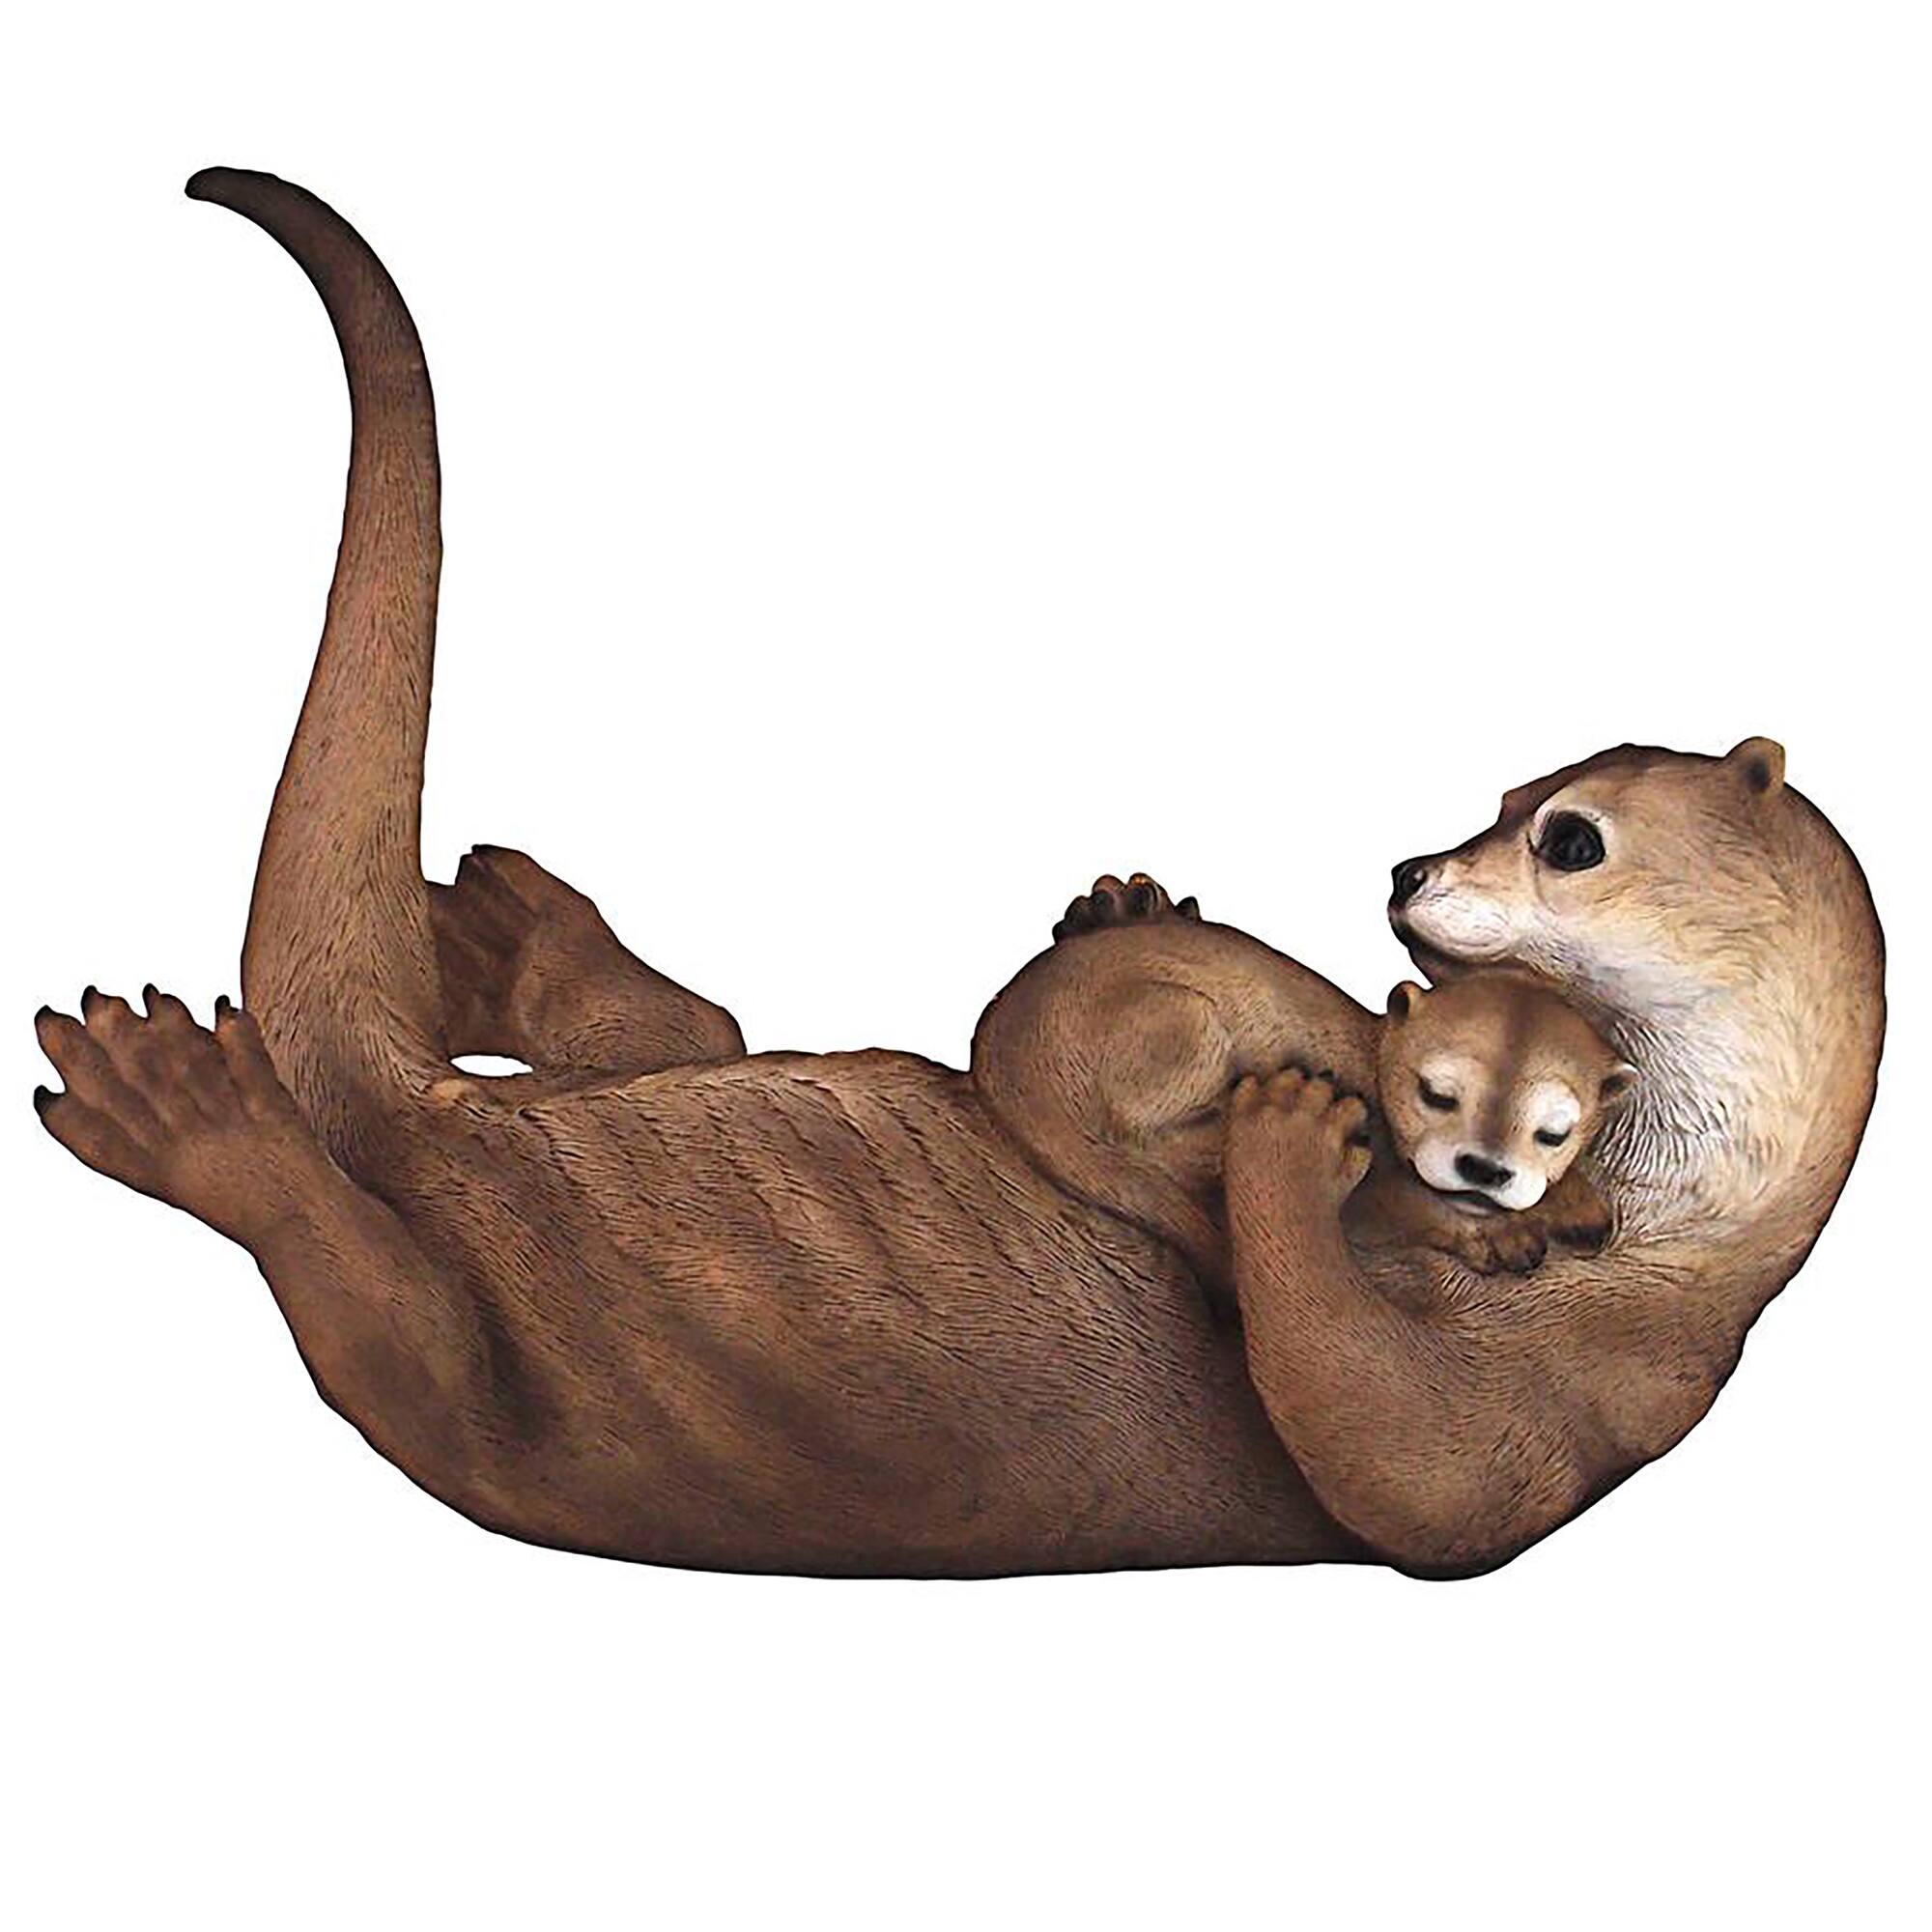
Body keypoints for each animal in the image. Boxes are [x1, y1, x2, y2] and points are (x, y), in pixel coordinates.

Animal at [31, 170, 1884, 1578]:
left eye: (1569, 839)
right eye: (1513, 795)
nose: (1417, 864)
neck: (1681, 1253)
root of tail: (437, 1128)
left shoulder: (1573, 1416)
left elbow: (1399, 1476)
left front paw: (1305, 1160)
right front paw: (1158, 952)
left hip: (486, 1385)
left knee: (383, 1328)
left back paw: (183, 1105)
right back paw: (490, 936)